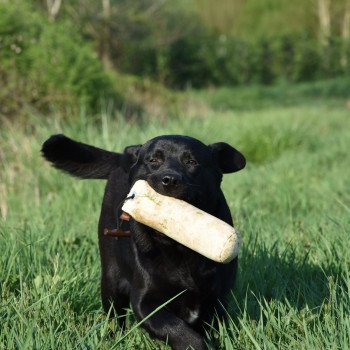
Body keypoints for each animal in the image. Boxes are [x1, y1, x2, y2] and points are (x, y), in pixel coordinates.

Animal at [41, 134, 246, 350]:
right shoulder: (144, 301)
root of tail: (123, 158)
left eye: (191, 161)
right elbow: (179, 330)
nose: (169, 180)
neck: (177, 245)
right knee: (114, 316)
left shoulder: (216, 298)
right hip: (111, 280)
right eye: (153, 160)